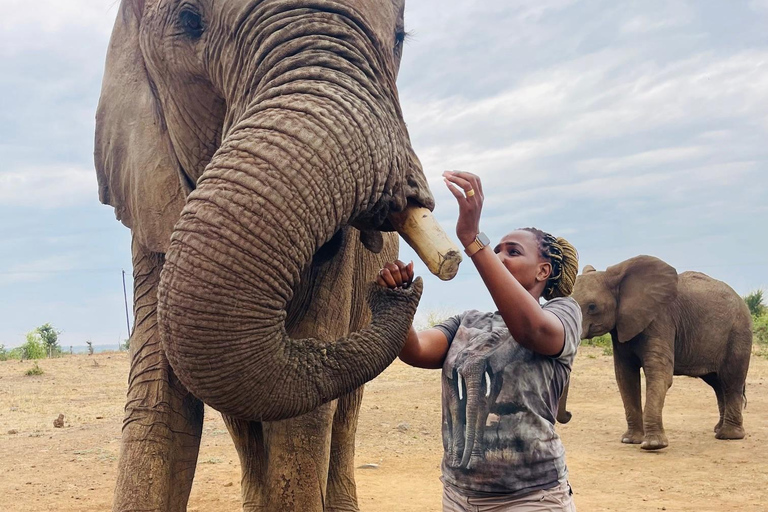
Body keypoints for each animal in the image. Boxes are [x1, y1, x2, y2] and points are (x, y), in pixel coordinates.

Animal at [92, 2, 460, 510]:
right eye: (188, 21)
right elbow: (159, 407)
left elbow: (299, 422)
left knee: (342, 411)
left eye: (400, 38)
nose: (398, 281)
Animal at [568, 255, 752, 448]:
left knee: (731, 379)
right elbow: (625, 376)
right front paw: (630, 440)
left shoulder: (661, 320)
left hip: (739, 332)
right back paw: (718, 430)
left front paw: (653, 445)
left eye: (592, 306)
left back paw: (729, 435)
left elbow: (659, 373)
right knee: (717, 383)